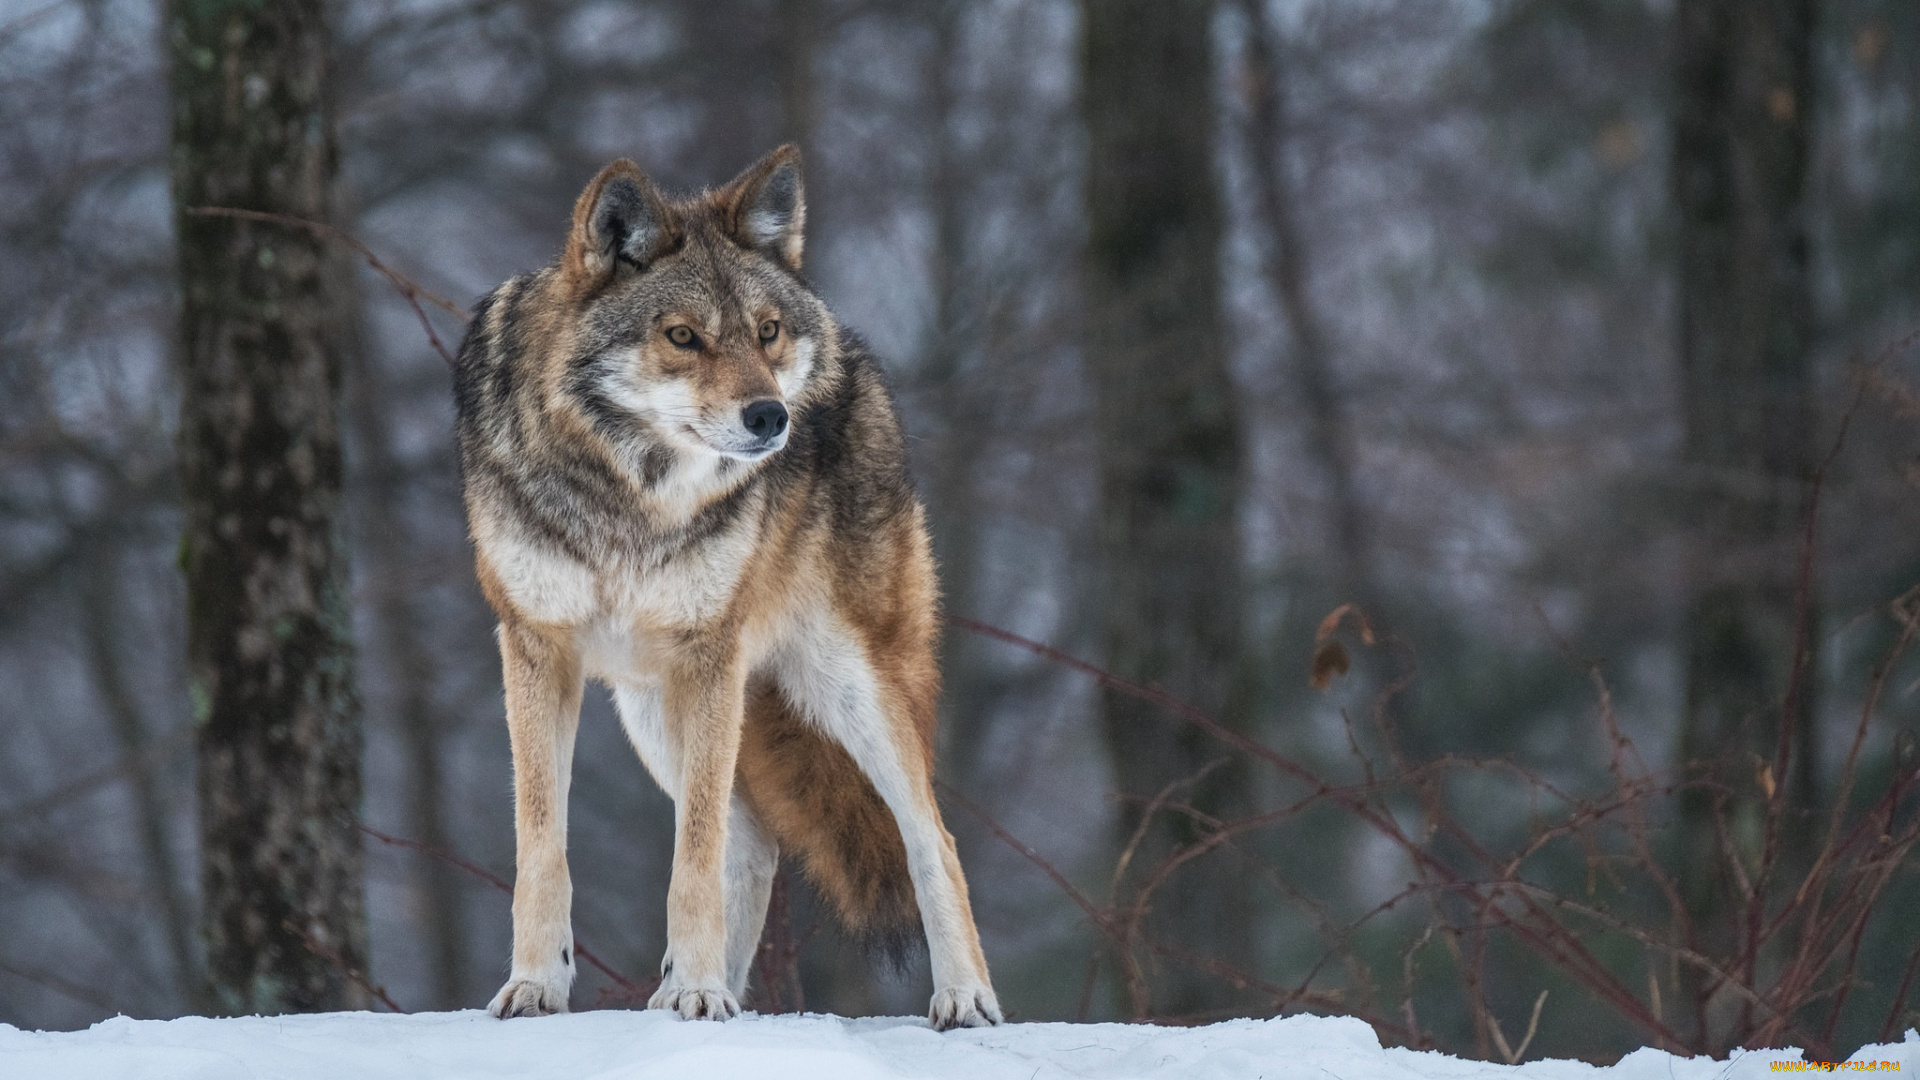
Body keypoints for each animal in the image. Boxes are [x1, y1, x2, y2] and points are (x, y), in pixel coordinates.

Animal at [451, 145, 1006, 1022]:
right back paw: (684, 994)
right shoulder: (537, 647)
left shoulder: (707, 653)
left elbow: (694, 851)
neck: (630, 493)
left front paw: (701, 991)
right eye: (684, 337)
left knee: (930, 837)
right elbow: (543, 844)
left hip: (846, 684)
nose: (772, 417)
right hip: (650, 707)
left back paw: (962, 998)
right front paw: (538, 985)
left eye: (766, 332)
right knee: (753, 844)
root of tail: (852, 346)